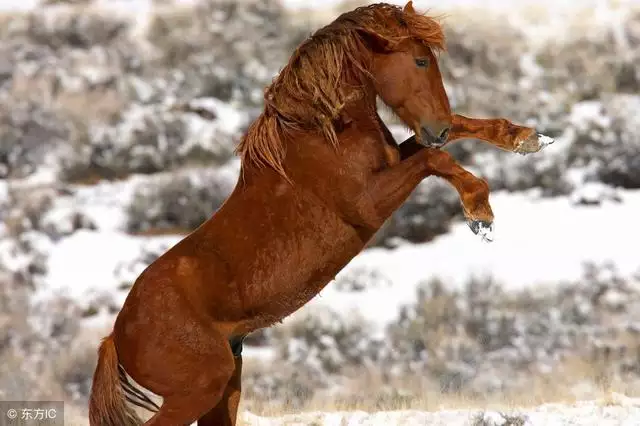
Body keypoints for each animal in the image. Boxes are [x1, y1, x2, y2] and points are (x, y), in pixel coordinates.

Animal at [87, 1, 552, 424]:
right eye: (420, 60)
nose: (432, 127)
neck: (321, 134)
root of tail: (117, 334)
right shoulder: (370, 201)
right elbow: (434, 160)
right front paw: (480, 212)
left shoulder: (395, 160)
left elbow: (454, 133)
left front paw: (525, 138)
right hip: (199, 390)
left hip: (226, 386)